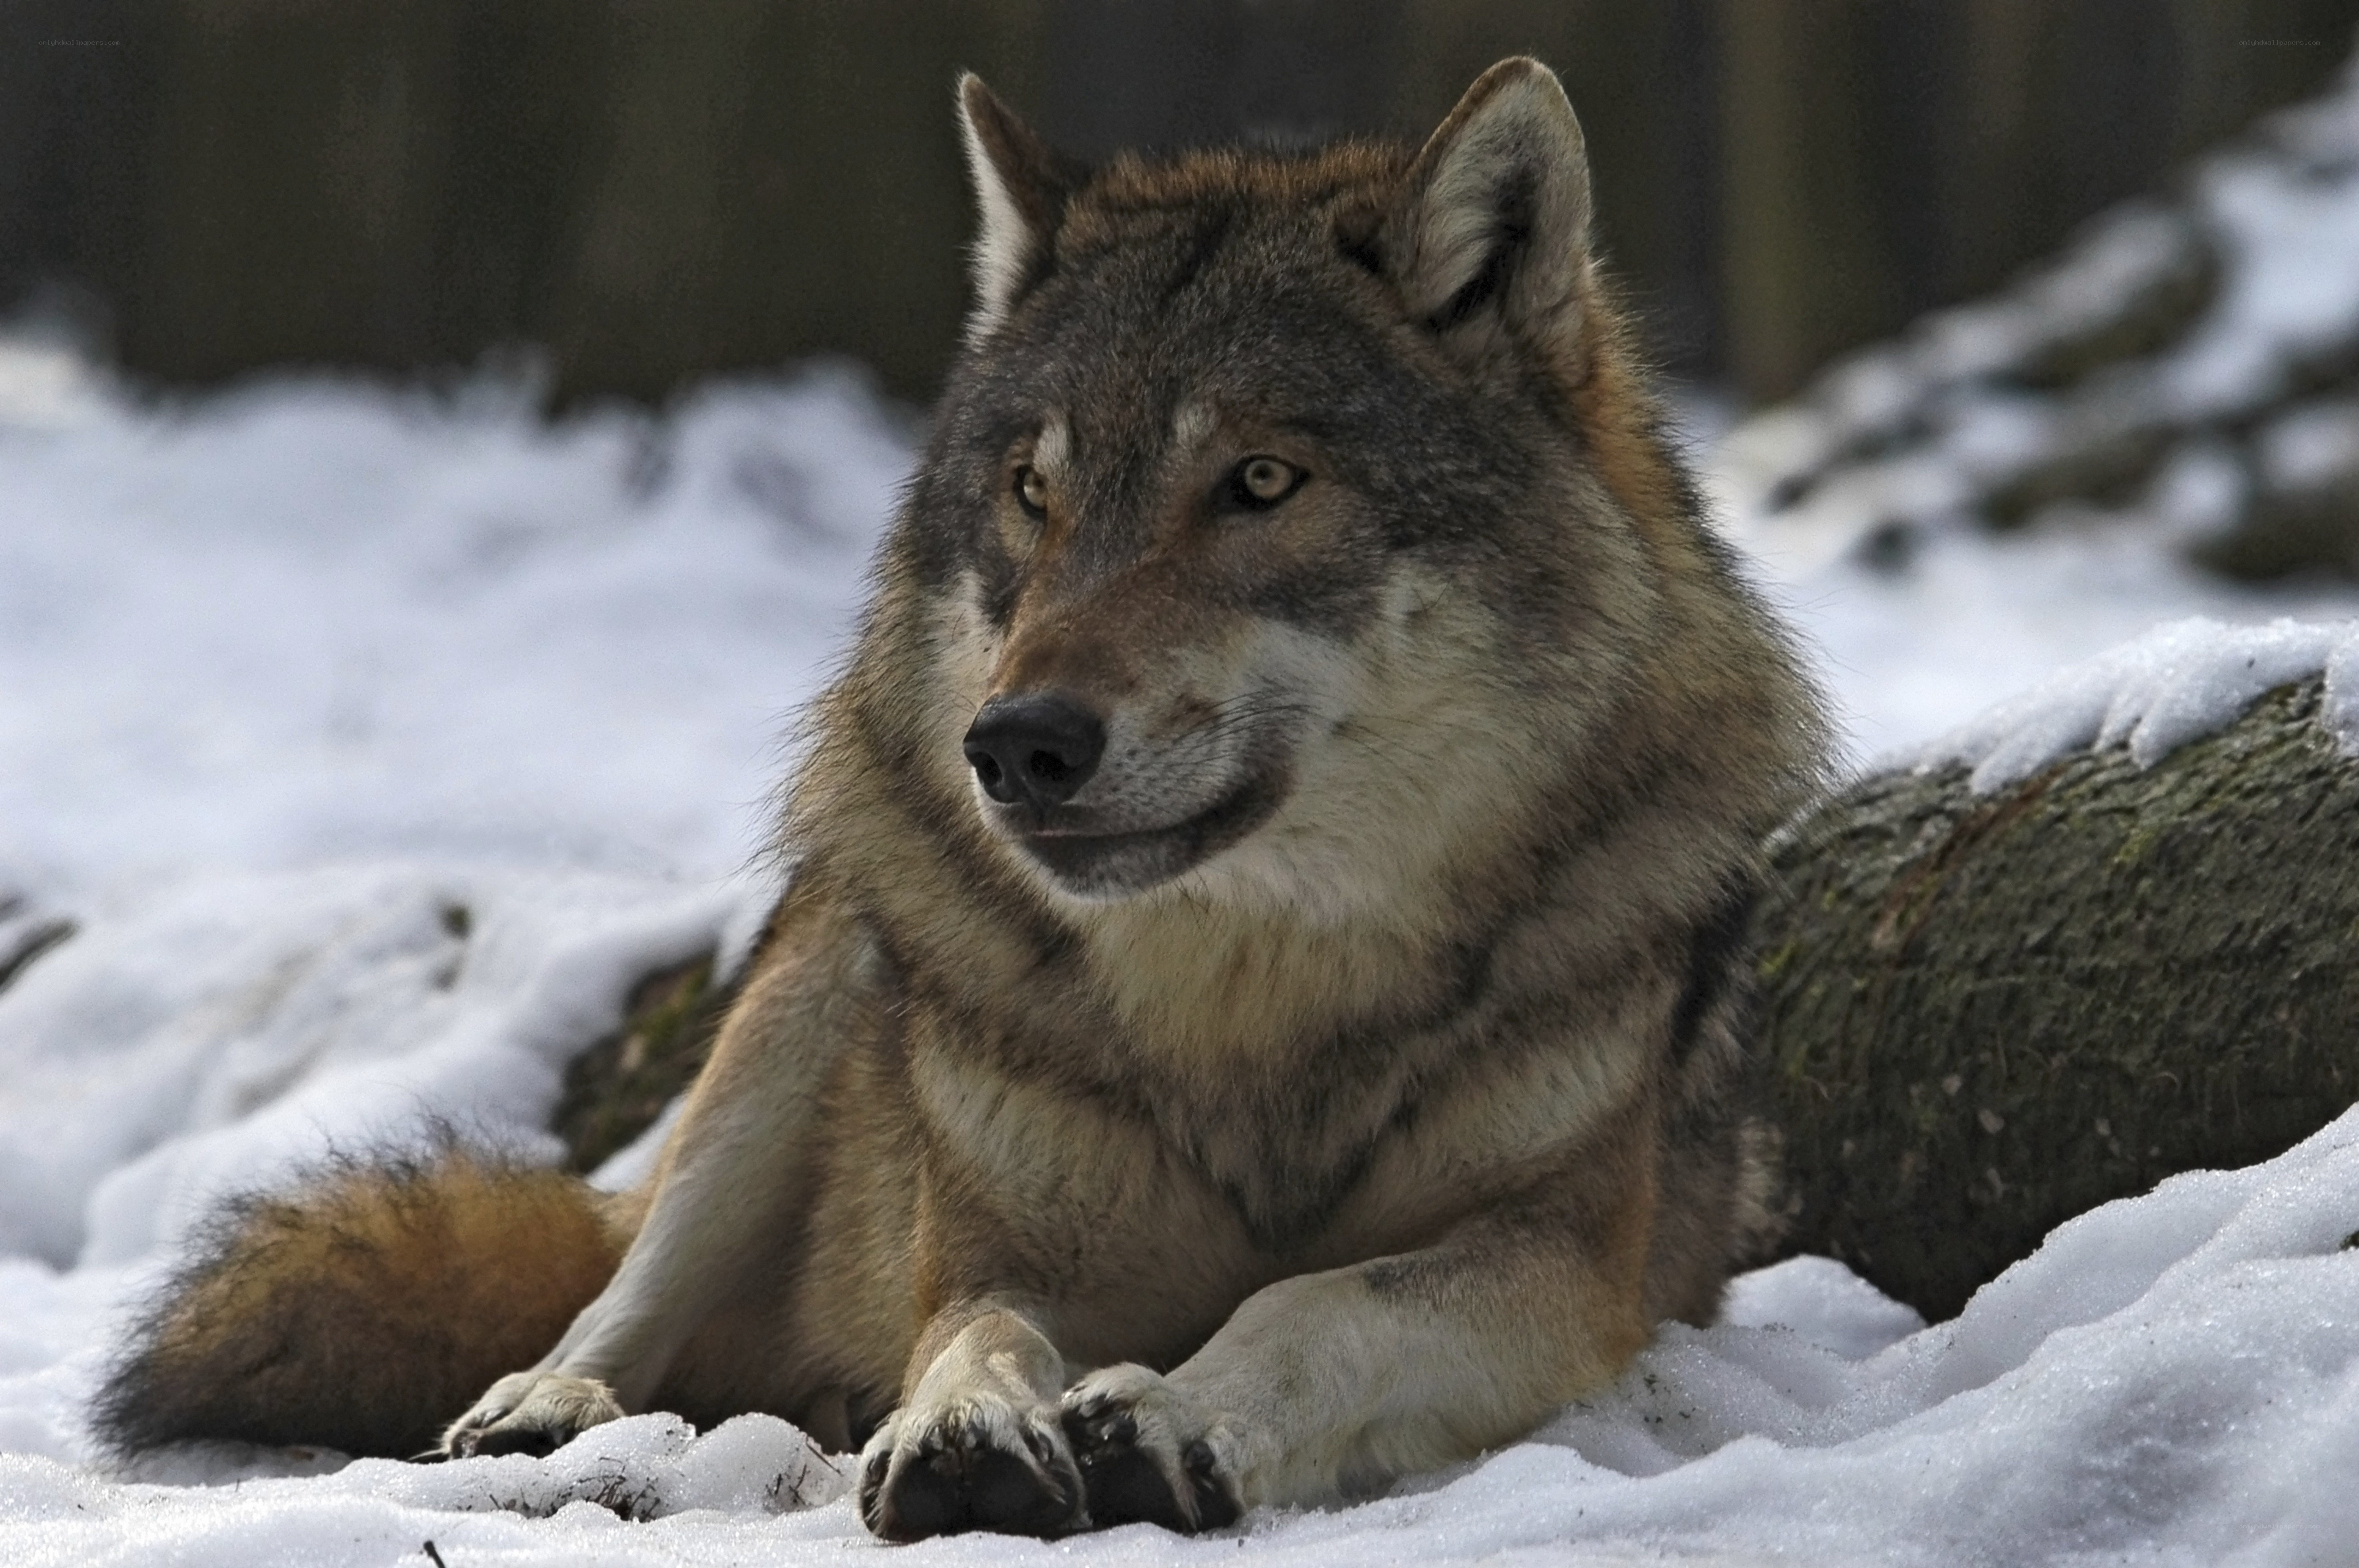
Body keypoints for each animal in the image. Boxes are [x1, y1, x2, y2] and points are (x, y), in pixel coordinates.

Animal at [94, 58, 1827, 1539]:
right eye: (1032, 493)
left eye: (1261, 482)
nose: (1019, 743)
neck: (1252, 1013)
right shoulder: (995, 1242)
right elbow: (973, 1328)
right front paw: (971, 1426)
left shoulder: (1569, 1264)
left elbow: (1317, 1297)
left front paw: (1169, 1414)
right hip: (820, 985)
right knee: (622, 1277)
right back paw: (543, 1407)